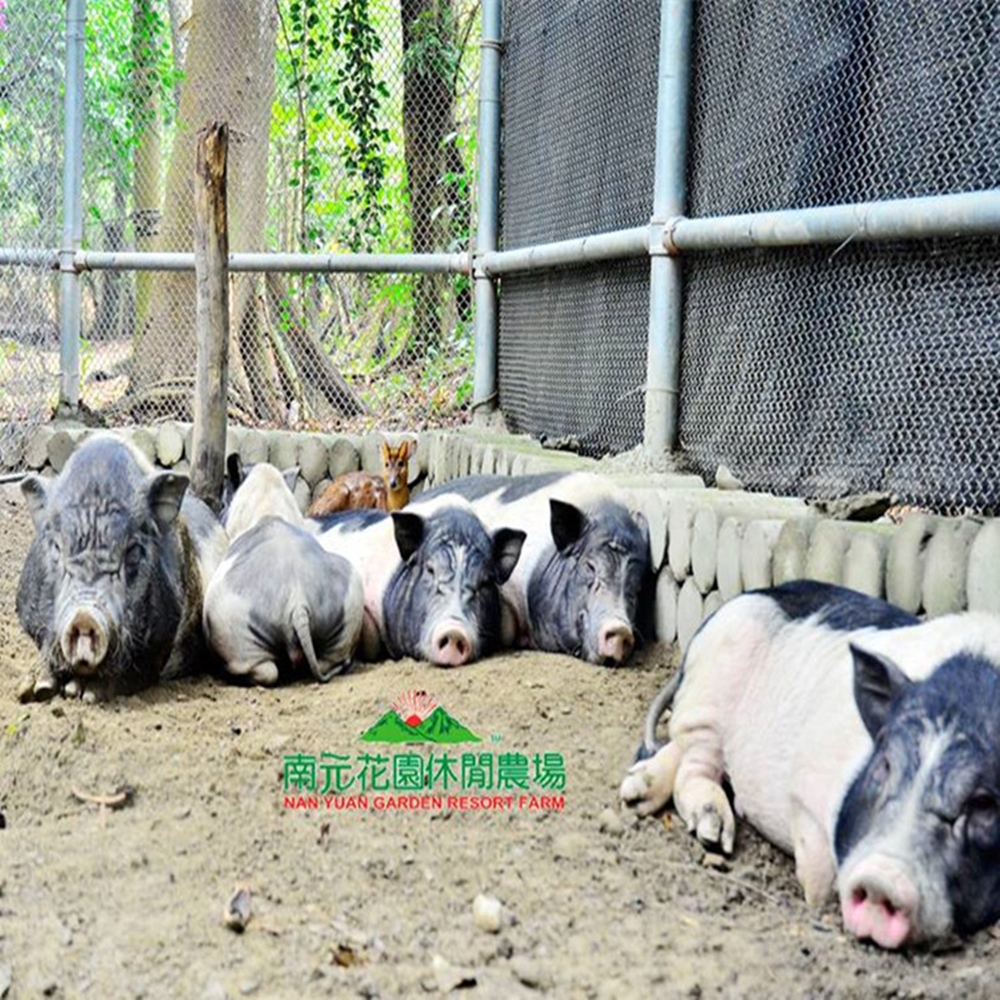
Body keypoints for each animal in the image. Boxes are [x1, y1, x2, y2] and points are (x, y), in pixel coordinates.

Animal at [15, 434, 228, 700]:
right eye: (56, 546)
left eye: (133, 550)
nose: (85, 617)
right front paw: (37, 690)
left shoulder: (161, 640)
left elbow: (133, 674)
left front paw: (84, 694)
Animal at [204, 462, 364, 688]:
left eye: (223, 505)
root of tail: (298, 603)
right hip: (349, 595)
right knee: (331, 657)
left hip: (231, 613)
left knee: (264, 669)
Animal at [620, 580, 1000, 944]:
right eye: (885, 765)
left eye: (985, 803)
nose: (881, 880)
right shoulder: (807, 784)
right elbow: (820, 879)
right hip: (711, 686)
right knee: (694, 762)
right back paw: (705, 831)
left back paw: (638, 795)